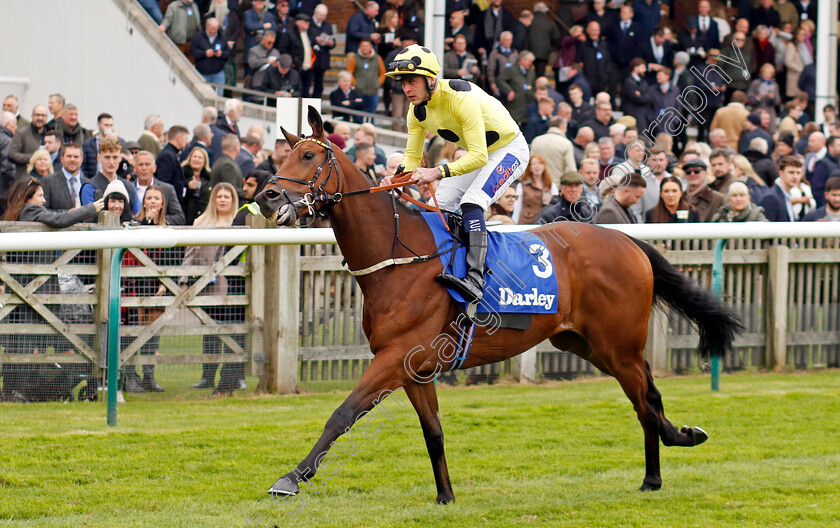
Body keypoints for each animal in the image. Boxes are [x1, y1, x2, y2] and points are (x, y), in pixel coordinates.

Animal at [256, 106, 740, 504]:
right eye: (284, 156)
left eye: (308, 157)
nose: (267, 196)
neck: (399, 258)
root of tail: (627, 240)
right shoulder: (415, 367)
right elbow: (433, 432)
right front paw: (446, 496)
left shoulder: (395, 356)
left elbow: (342, 414)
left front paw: (291, 478)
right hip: (584, 344)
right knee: (646, 398)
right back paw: (668, 455)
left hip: (618, 344)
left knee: (646, 399)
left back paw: (665, 460)